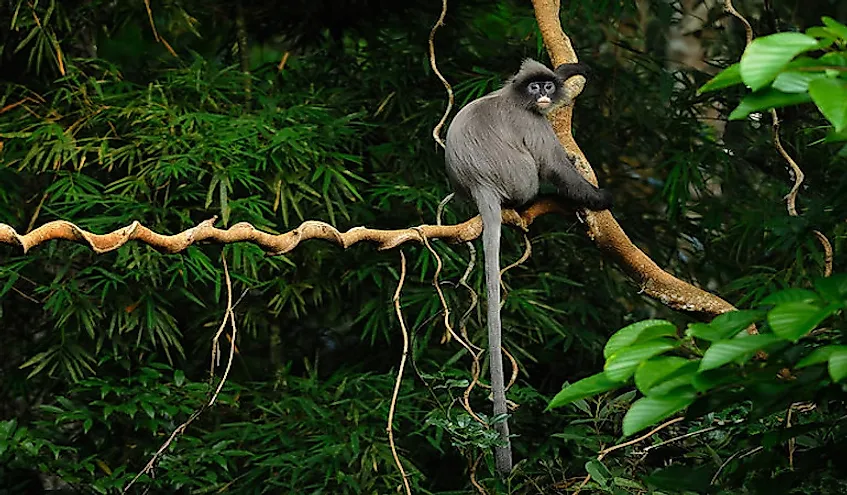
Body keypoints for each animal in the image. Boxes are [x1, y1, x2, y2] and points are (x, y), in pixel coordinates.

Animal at [444, 59, 608, 476]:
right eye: (534, 88)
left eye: (546, 85)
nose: (545, 93)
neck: (515, 97)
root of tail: (481, 186)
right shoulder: (532, 123)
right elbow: (554, 165)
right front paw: (600, 198)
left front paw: (571, 70)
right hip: (520, 179)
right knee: (540, 173)